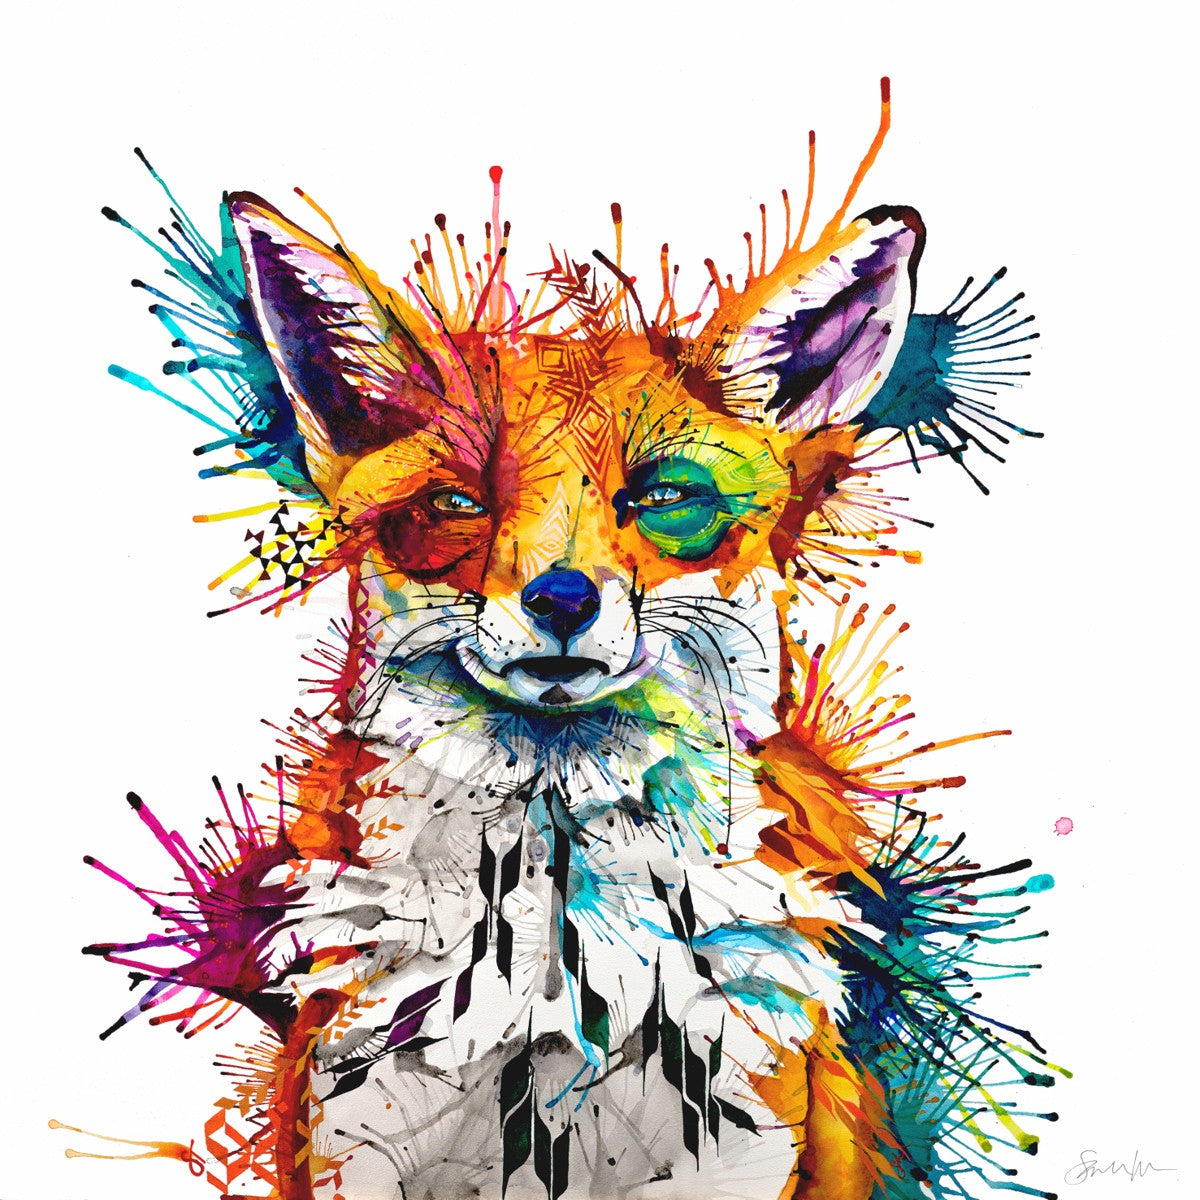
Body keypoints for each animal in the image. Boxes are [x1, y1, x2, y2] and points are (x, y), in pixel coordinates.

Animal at [85, 81, 1060, 1200]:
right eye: (457, 502)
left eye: (665, 498)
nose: (560, 598)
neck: (552, 1002)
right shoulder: (354, 1150)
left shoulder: (737, 1157)